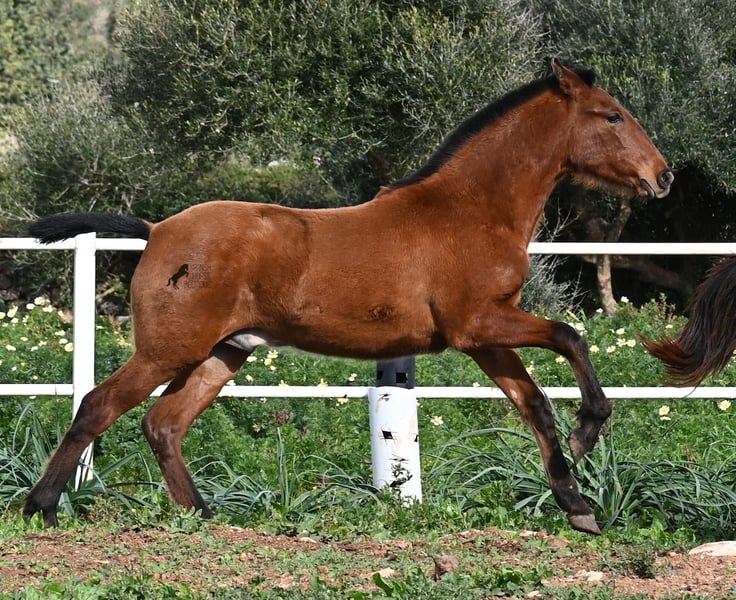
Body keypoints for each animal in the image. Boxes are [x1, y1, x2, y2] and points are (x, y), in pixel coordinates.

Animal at [25, 59, 673, 535]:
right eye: (611, 116)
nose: (662, 175)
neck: (469, 210)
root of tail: (156, 230)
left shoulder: (483, 337)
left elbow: (534, 404)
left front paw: (578, 506)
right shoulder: (480, 323)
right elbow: (571, 336)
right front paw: (589, 432)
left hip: (222, 354)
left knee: (162, 423)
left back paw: (205, 516)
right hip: (169, 350)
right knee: (99, 406)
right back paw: (42, 508)